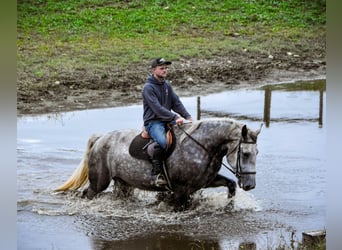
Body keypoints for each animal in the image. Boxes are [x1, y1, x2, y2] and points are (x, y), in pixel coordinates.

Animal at [55, 118, 262, 210]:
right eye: (245, 153)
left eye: (257, 153)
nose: (250, 185)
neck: (202, 146)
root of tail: (100, 139)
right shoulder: (181, 190)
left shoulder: (204, 182)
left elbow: (231, 185)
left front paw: (229, 206)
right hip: (99, 182)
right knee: (87, 193)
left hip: (123, 183)